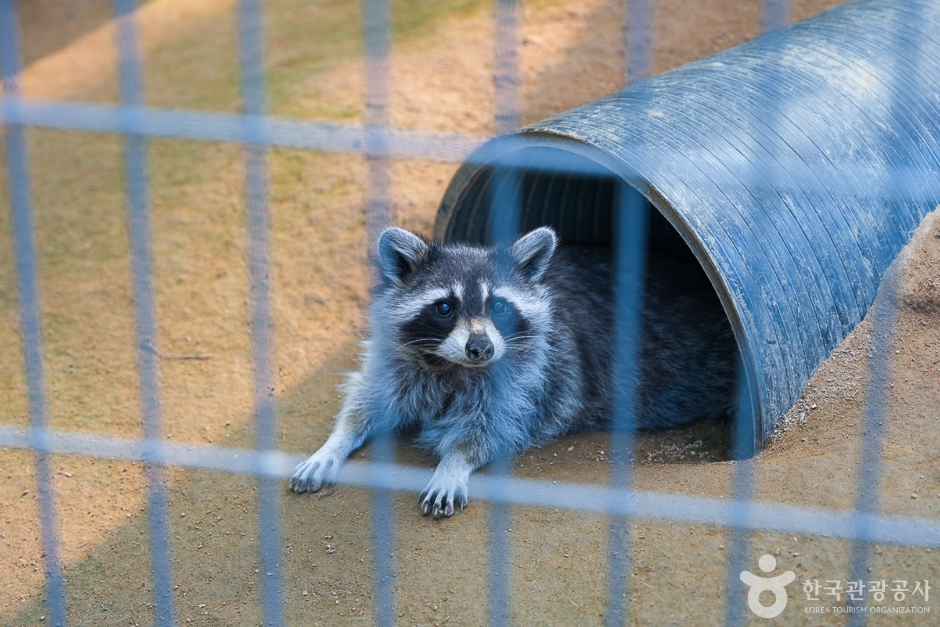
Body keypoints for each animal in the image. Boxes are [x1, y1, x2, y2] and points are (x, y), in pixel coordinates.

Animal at [289, 226, 739, 517]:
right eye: (445, 307)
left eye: (500, 306)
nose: (481, 348)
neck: (452, 367)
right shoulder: (396, 359)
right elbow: (367, 399)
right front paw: (334, 442)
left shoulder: (535, 378)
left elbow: (493, 429)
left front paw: (453, 462)